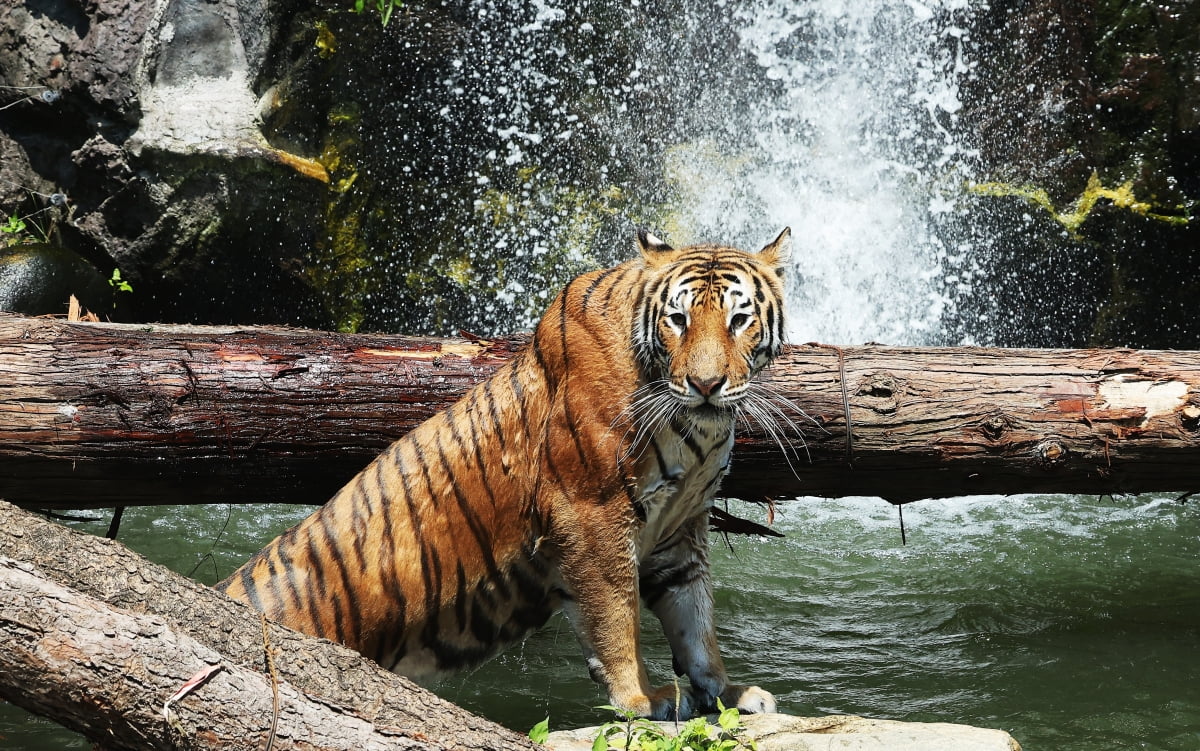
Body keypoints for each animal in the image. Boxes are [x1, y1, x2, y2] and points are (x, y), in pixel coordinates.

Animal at [219, 227, 792, 719]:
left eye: (738, 321)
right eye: (678, 320)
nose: (706, 385)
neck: (698, 430)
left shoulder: (680, 528)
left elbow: (696, 621)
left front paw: (730, 692)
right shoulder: (591, 514)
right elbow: (616, 615)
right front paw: (643, 699)